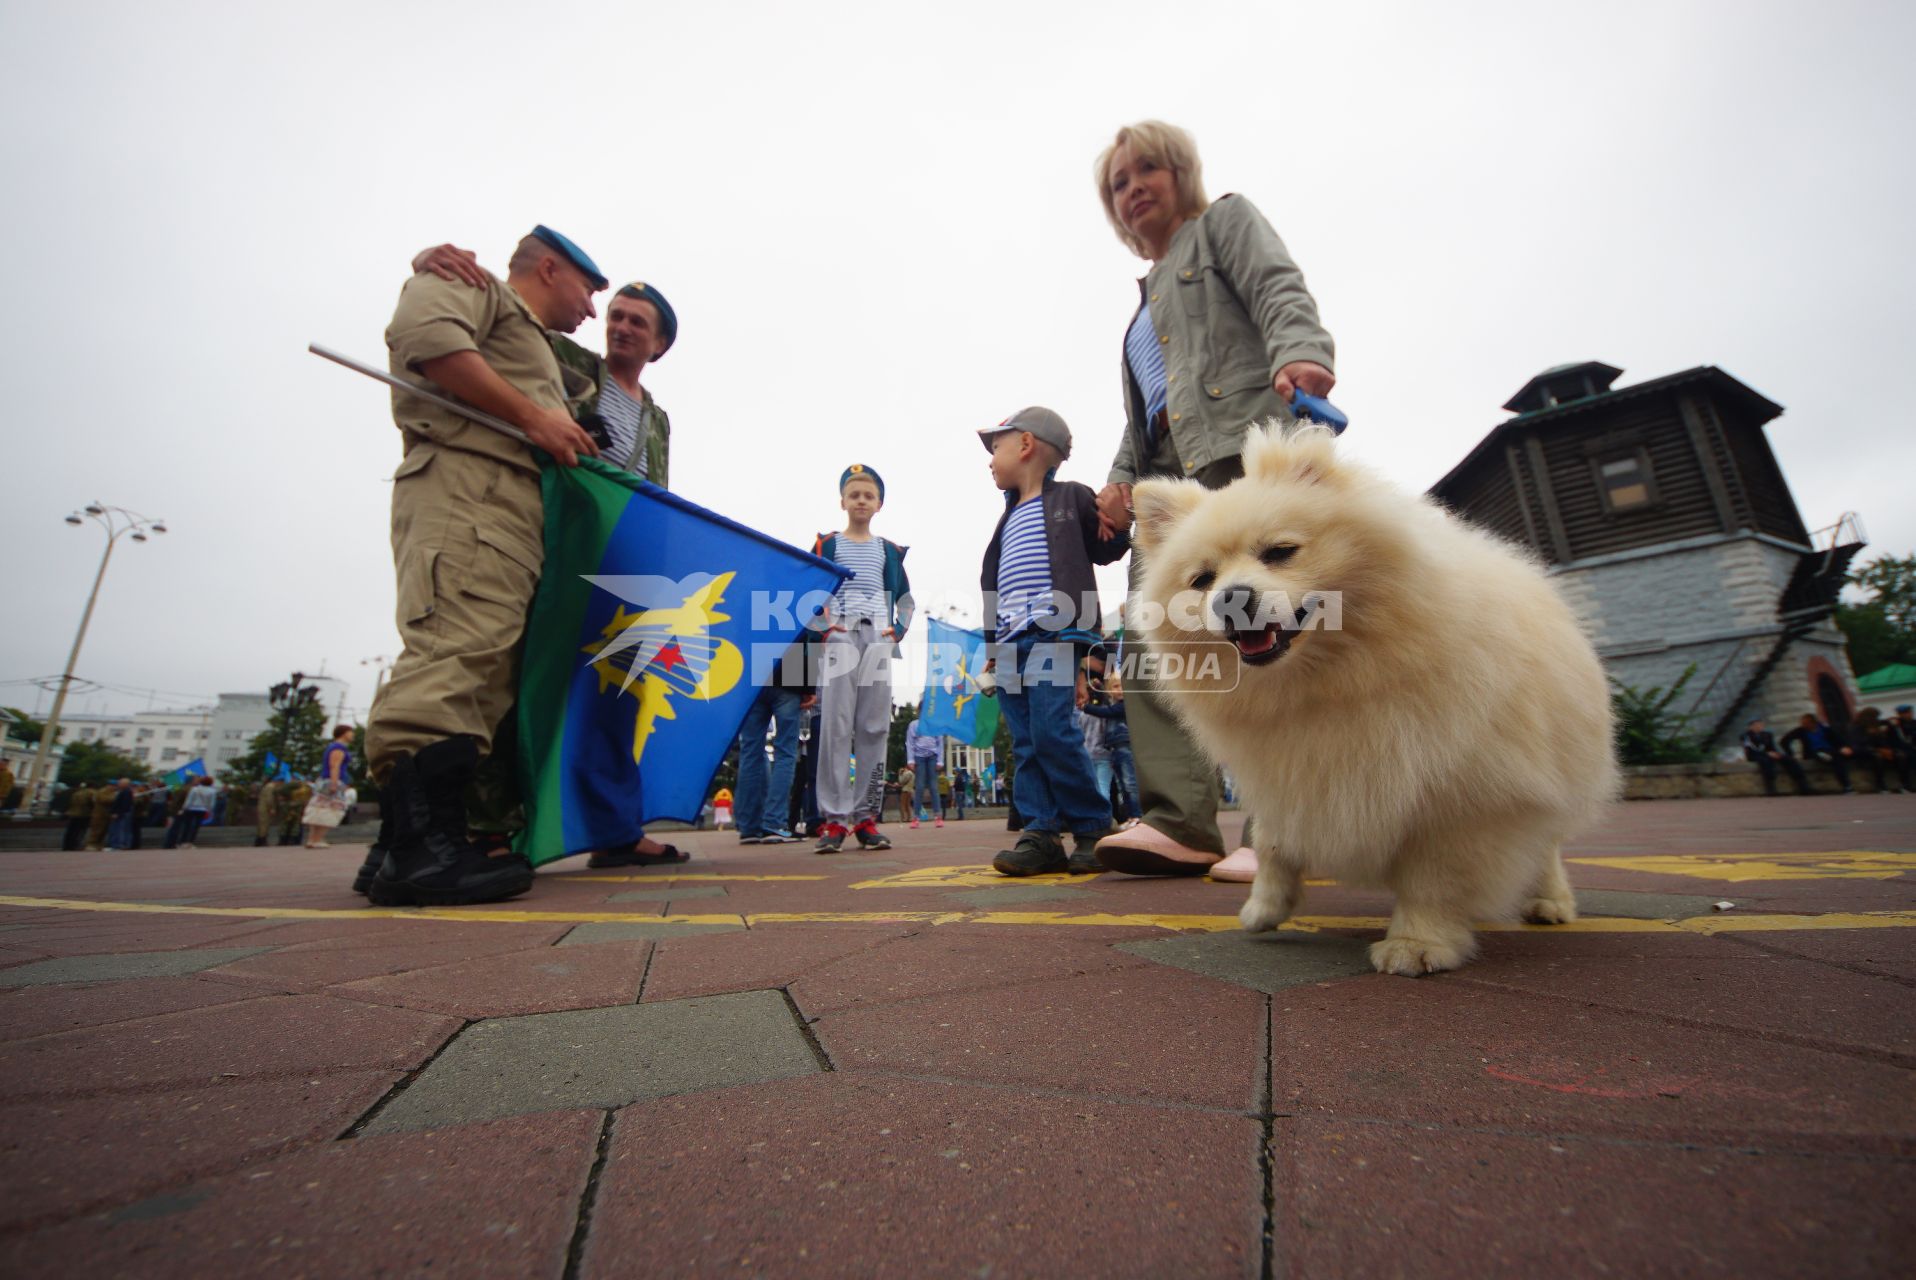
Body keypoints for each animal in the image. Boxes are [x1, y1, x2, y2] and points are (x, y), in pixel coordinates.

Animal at [1126, 425, 1624, 973]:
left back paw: (1549, 900)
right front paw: (1267, 906)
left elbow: (1434, 877)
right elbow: (1274, 841)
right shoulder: (1287, 770)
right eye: (1202, 580)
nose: (1229, 597)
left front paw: (1417, 942)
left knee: (1548, 844)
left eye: (1280, 551)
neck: (1326, 682)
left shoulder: (1458, 792)